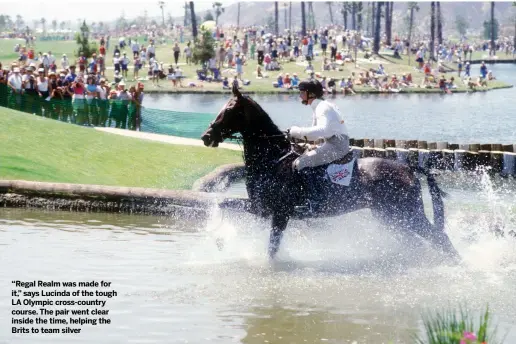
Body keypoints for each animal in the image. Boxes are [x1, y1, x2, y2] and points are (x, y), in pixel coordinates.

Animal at [202, 84, 460, 262]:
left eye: (229, 110)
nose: (206, 137)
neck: (273, 160)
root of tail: (408, 168)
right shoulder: (260, 208)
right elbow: (224, 204)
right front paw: (218, 239)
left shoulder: (280, 214)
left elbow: (272, 249)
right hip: (390, 216)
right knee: (418, 243)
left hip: (408, 214)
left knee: (440, 238)